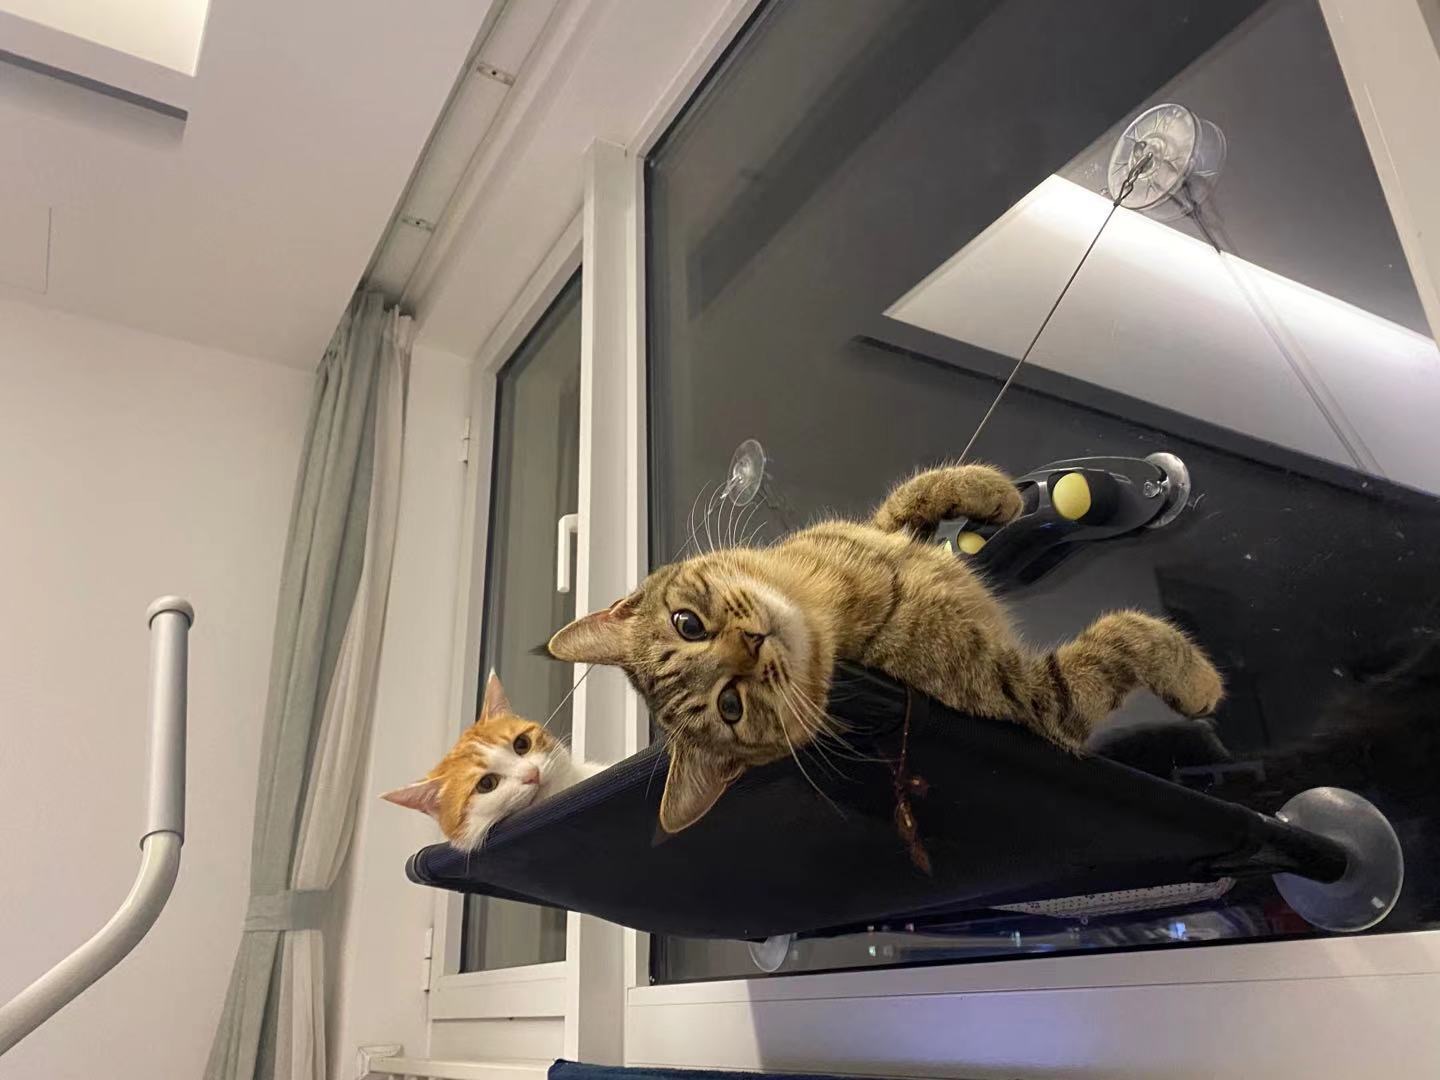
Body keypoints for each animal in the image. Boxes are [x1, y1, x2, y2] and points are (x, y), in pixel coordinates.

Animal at [548, 463, 1224, 833]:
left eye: (687, 623)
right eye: (730, 707)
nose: (751, 642)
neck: (834, 601)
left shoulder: (878, 528)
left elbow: (910, 496)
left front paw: (994, 492)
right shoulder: (1036, 697)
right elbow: (1122, 637)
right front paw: (1197, 679)